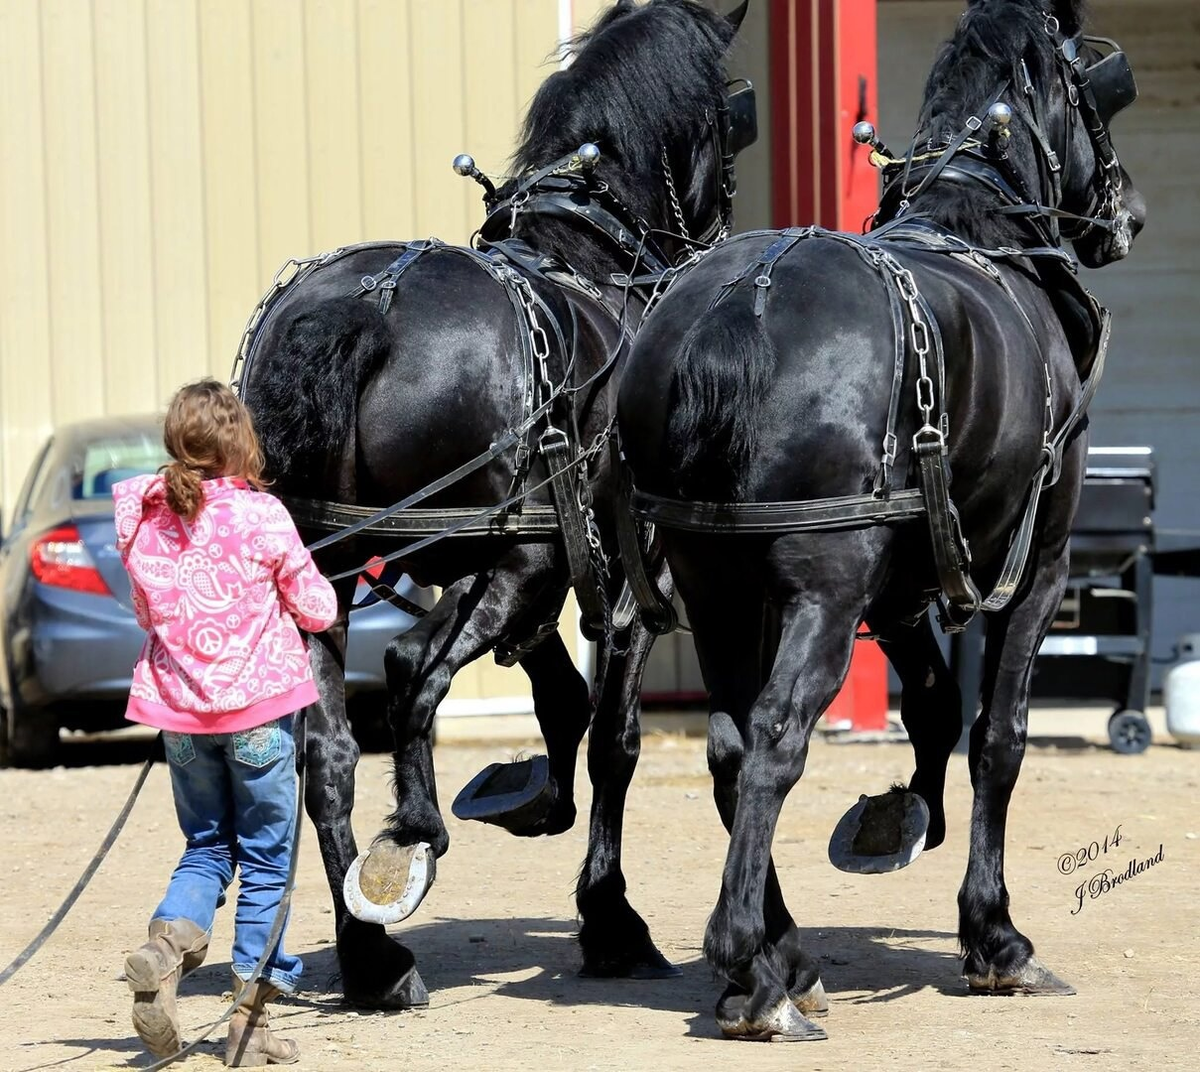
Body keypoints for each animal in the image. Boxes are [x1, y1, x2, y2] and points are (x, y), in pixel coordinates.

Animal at [237, 0, 748, 1008]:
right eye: (728, 118)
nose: (721, 223)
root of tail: (370, 305)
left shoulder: (541, 572)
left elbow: (560, 699)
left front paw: (532, 803)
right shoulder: (617, 581)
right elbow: (613, 738)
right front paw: (611, 920)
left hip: (337, 568)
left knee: (331, 753)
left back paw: (373, 954)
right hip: (505, 562)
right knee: (407, 671)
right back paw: (414, 837)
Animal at [619, 0, 1142, 1041]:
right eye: (1094, 89)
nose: (1129, 213)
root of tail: (739, 303)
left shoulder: (901, 584)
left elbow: (934, 701)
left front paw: (901, 815)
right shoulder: (1039, 565)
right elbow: (998, 736)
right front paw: (995, 938)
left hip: (721, 583)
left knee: (733, 746)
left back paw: (780, 954)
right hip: (823, 590)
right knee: (777, 736)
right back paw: (752, 970)